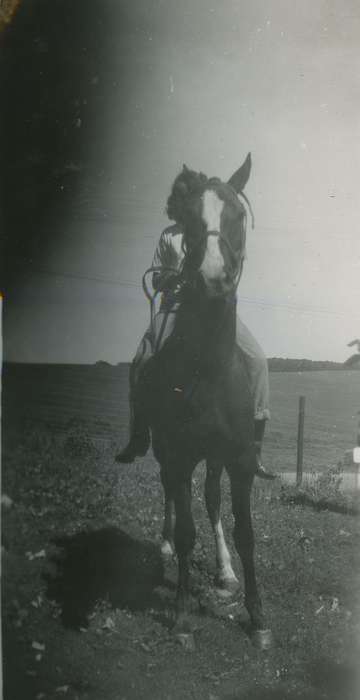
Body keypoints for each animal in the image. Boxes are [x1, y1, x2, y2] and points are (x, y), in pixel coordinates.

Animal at [136, 154, 272, 652]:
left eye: (236, 216)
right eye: (191, 219)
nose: (214, 277)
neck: (210, 371)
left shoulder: (239, 460)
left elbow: (245, 532)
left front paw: (256, 616)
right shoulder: (178, 454)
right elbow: (186, 531)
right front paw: (179, 614)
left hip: (214, 459)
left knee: (212, 500)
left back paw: (225, 571)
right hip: (167, 454)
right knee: (171, 498)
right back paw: (164, 547)